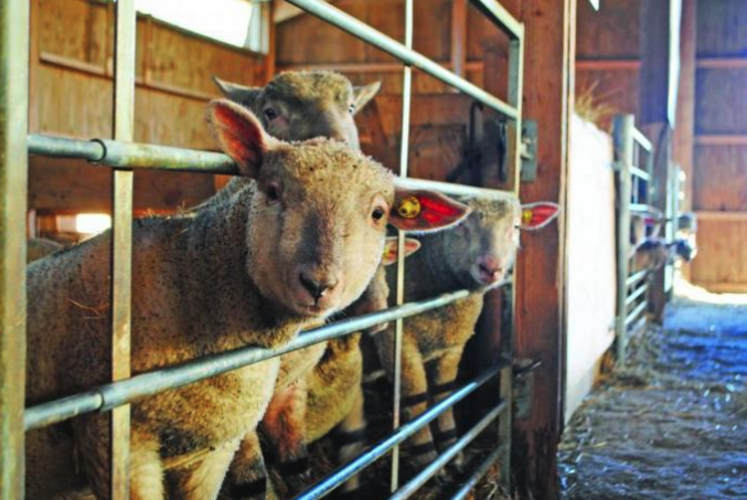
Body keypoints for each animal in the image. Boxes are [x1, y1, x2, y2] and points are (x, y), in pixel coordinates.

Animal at [25, 99, 469, 500]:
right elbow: (253, 476)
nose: (318, 284)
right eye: (272, 191)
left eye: (378, 214)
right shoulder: (116, 442)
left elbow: (288, 453)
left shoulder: (225, 438)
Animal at [372, 198, 560, 471]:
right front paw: (427, 459)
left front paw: (453, 451)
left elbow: (444, 395)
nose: (492, 268)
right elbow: (415, 399)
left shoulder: (453, 345)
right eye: (461, 225)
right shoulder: (396, 341)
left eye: (516, 226)